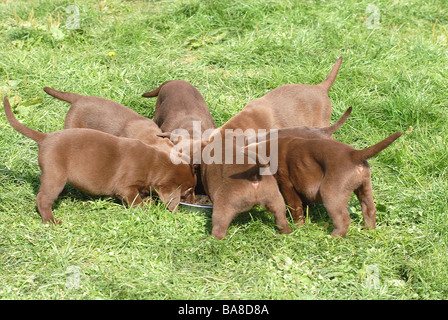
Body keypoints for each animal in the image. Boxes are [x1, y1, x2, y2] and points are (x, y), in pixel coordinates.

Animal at [3, 99, 196, 224]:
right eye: (187, 191)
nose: (194, 202)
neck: (156, 163)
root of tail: (46, 138)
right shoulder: (125, 187)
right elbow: (135, 199)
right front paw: (146, 207)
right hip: (54, 175)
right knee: (42, 198)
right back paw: (51, 220)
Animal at [245, 131, 402, 236]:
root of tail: (354, 154)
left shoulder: (287, 184)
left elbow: (295, 207)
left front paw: (297, 227)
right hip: (364, 187)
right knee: (369, 209)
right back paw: (368, 230)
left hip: (331, 193)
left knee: (343, 219)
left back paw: (332, 238)